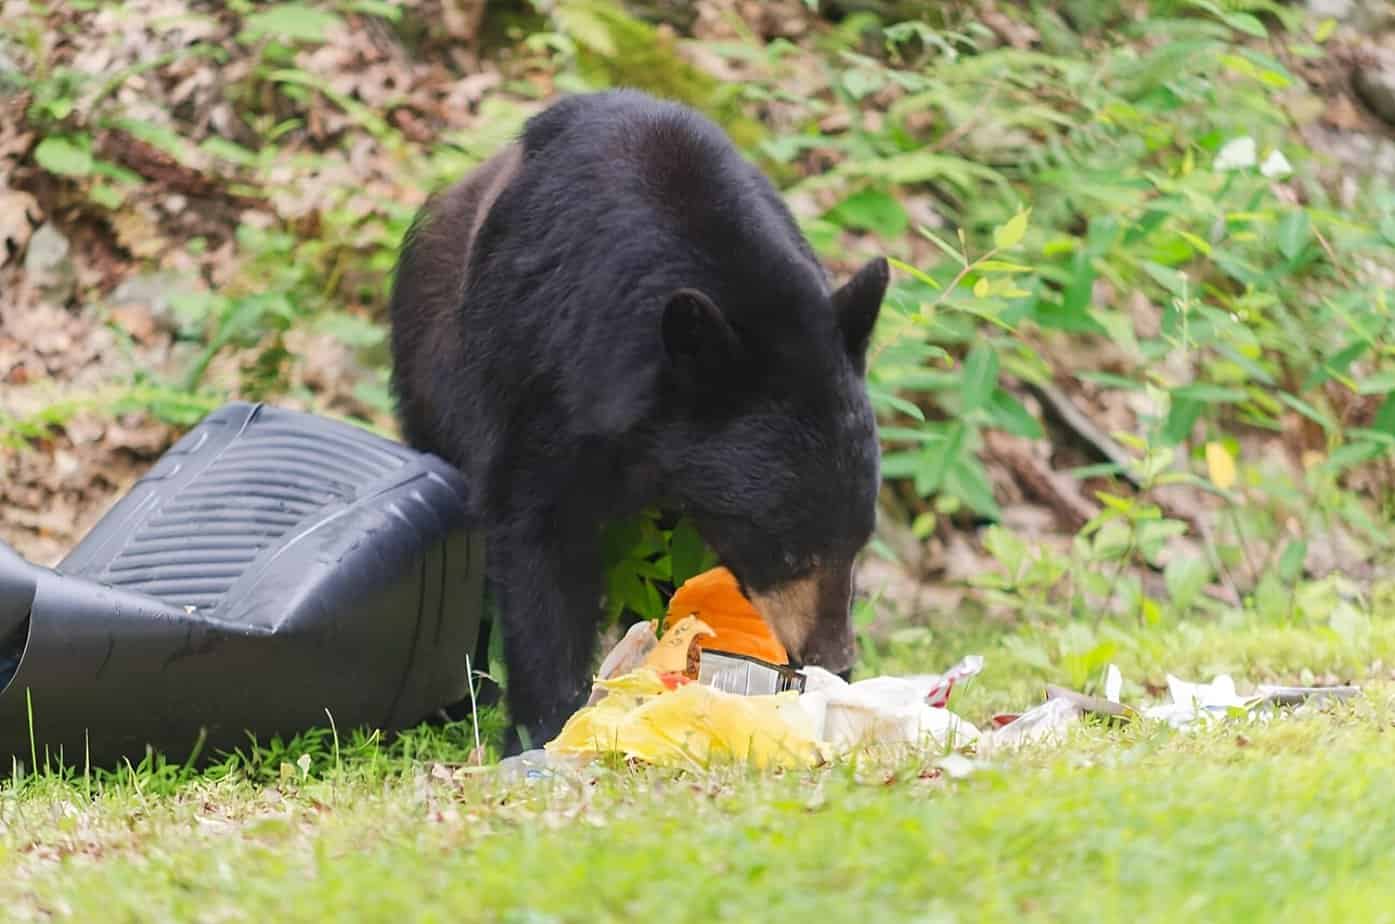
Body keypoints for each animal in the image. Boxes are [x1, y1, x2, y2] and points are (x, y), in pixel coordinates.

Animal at [388, 89, 888, 751]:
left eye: (860, 540)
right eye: (786, 549)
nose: (835, 659)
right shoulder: (538, 373)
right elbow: (536, 539)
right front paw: (547, 722)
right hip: (430, 375)